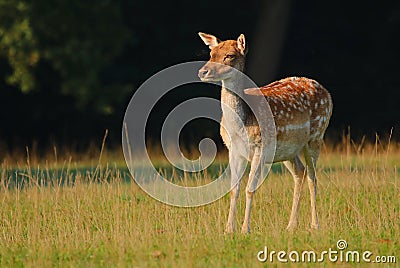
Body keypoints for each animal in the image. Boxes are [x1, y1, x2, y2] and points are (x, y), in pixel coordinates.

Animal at [197, 32, 332, 233]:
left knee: (312, 177)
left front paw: (245, 229)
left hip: (316, 136)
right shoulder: (233, 149)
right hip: (287, 151)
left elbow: (250, 188)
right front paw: (228, 229)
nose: (202, 72)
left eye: (229, 56)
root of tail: (327, 93)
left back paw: (315, 225)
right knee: (300, 172)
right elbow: (234, 189)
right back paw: (291, 225)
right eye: (211, 53)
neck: (241, 124)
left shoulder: (259, 146)